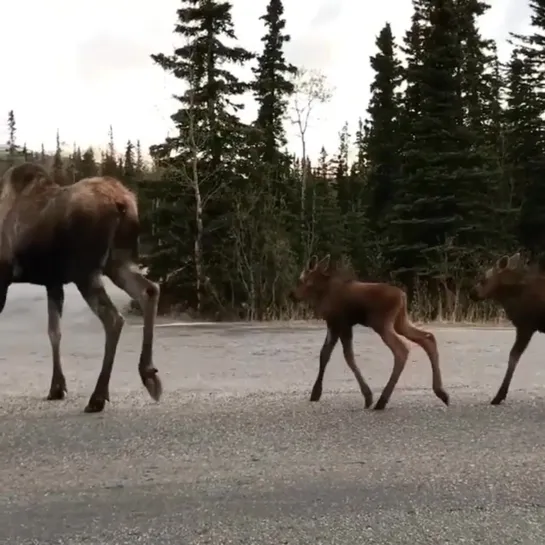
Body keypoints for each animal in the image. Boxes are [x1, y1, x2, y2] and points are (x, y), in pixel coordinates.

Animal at [0, 162, 162, 412]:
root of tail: (123, 204)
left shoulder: (4, 275)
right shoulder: (53, 282)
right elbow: (54, 331)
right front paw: (57, 387)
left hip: (86, 271)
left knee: (113, 318)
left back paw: (98, 396)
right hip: (117, 262)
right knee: (149, 290)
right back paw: (149, 374)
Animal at [288, 255, 446, 408]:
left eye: (301, 279)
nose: (293, 295)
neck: (322, 292)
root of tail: (402, 296)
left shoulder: (340, 323)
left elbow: (346, 356)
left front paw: (368, 396)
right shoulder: (336, 324)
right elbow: (325, 354)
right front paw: (316, 393)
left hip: (382, 323)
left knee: (402, 349)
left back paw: (382, 400)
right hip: (400, 322)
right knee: (428, 338)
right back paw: (441, 392)